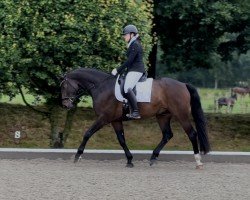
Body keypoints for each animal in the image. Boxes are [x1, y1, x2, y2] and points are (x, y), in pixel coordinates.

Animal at [61, 68, 211, 168]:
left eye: (63, 86)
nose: (66, 104)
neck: (101, 87)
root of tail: (183, 84)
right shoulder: (115, 120)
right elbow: (121, 140)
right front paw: (129, 160)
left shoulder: (104, 118)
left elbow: (87, 133)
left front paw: (77, 156)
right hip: (162, 116)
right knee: (167, 135)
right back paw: (153, 158)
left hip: (181, 115)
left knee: (192, 134)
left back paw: (198, 161)